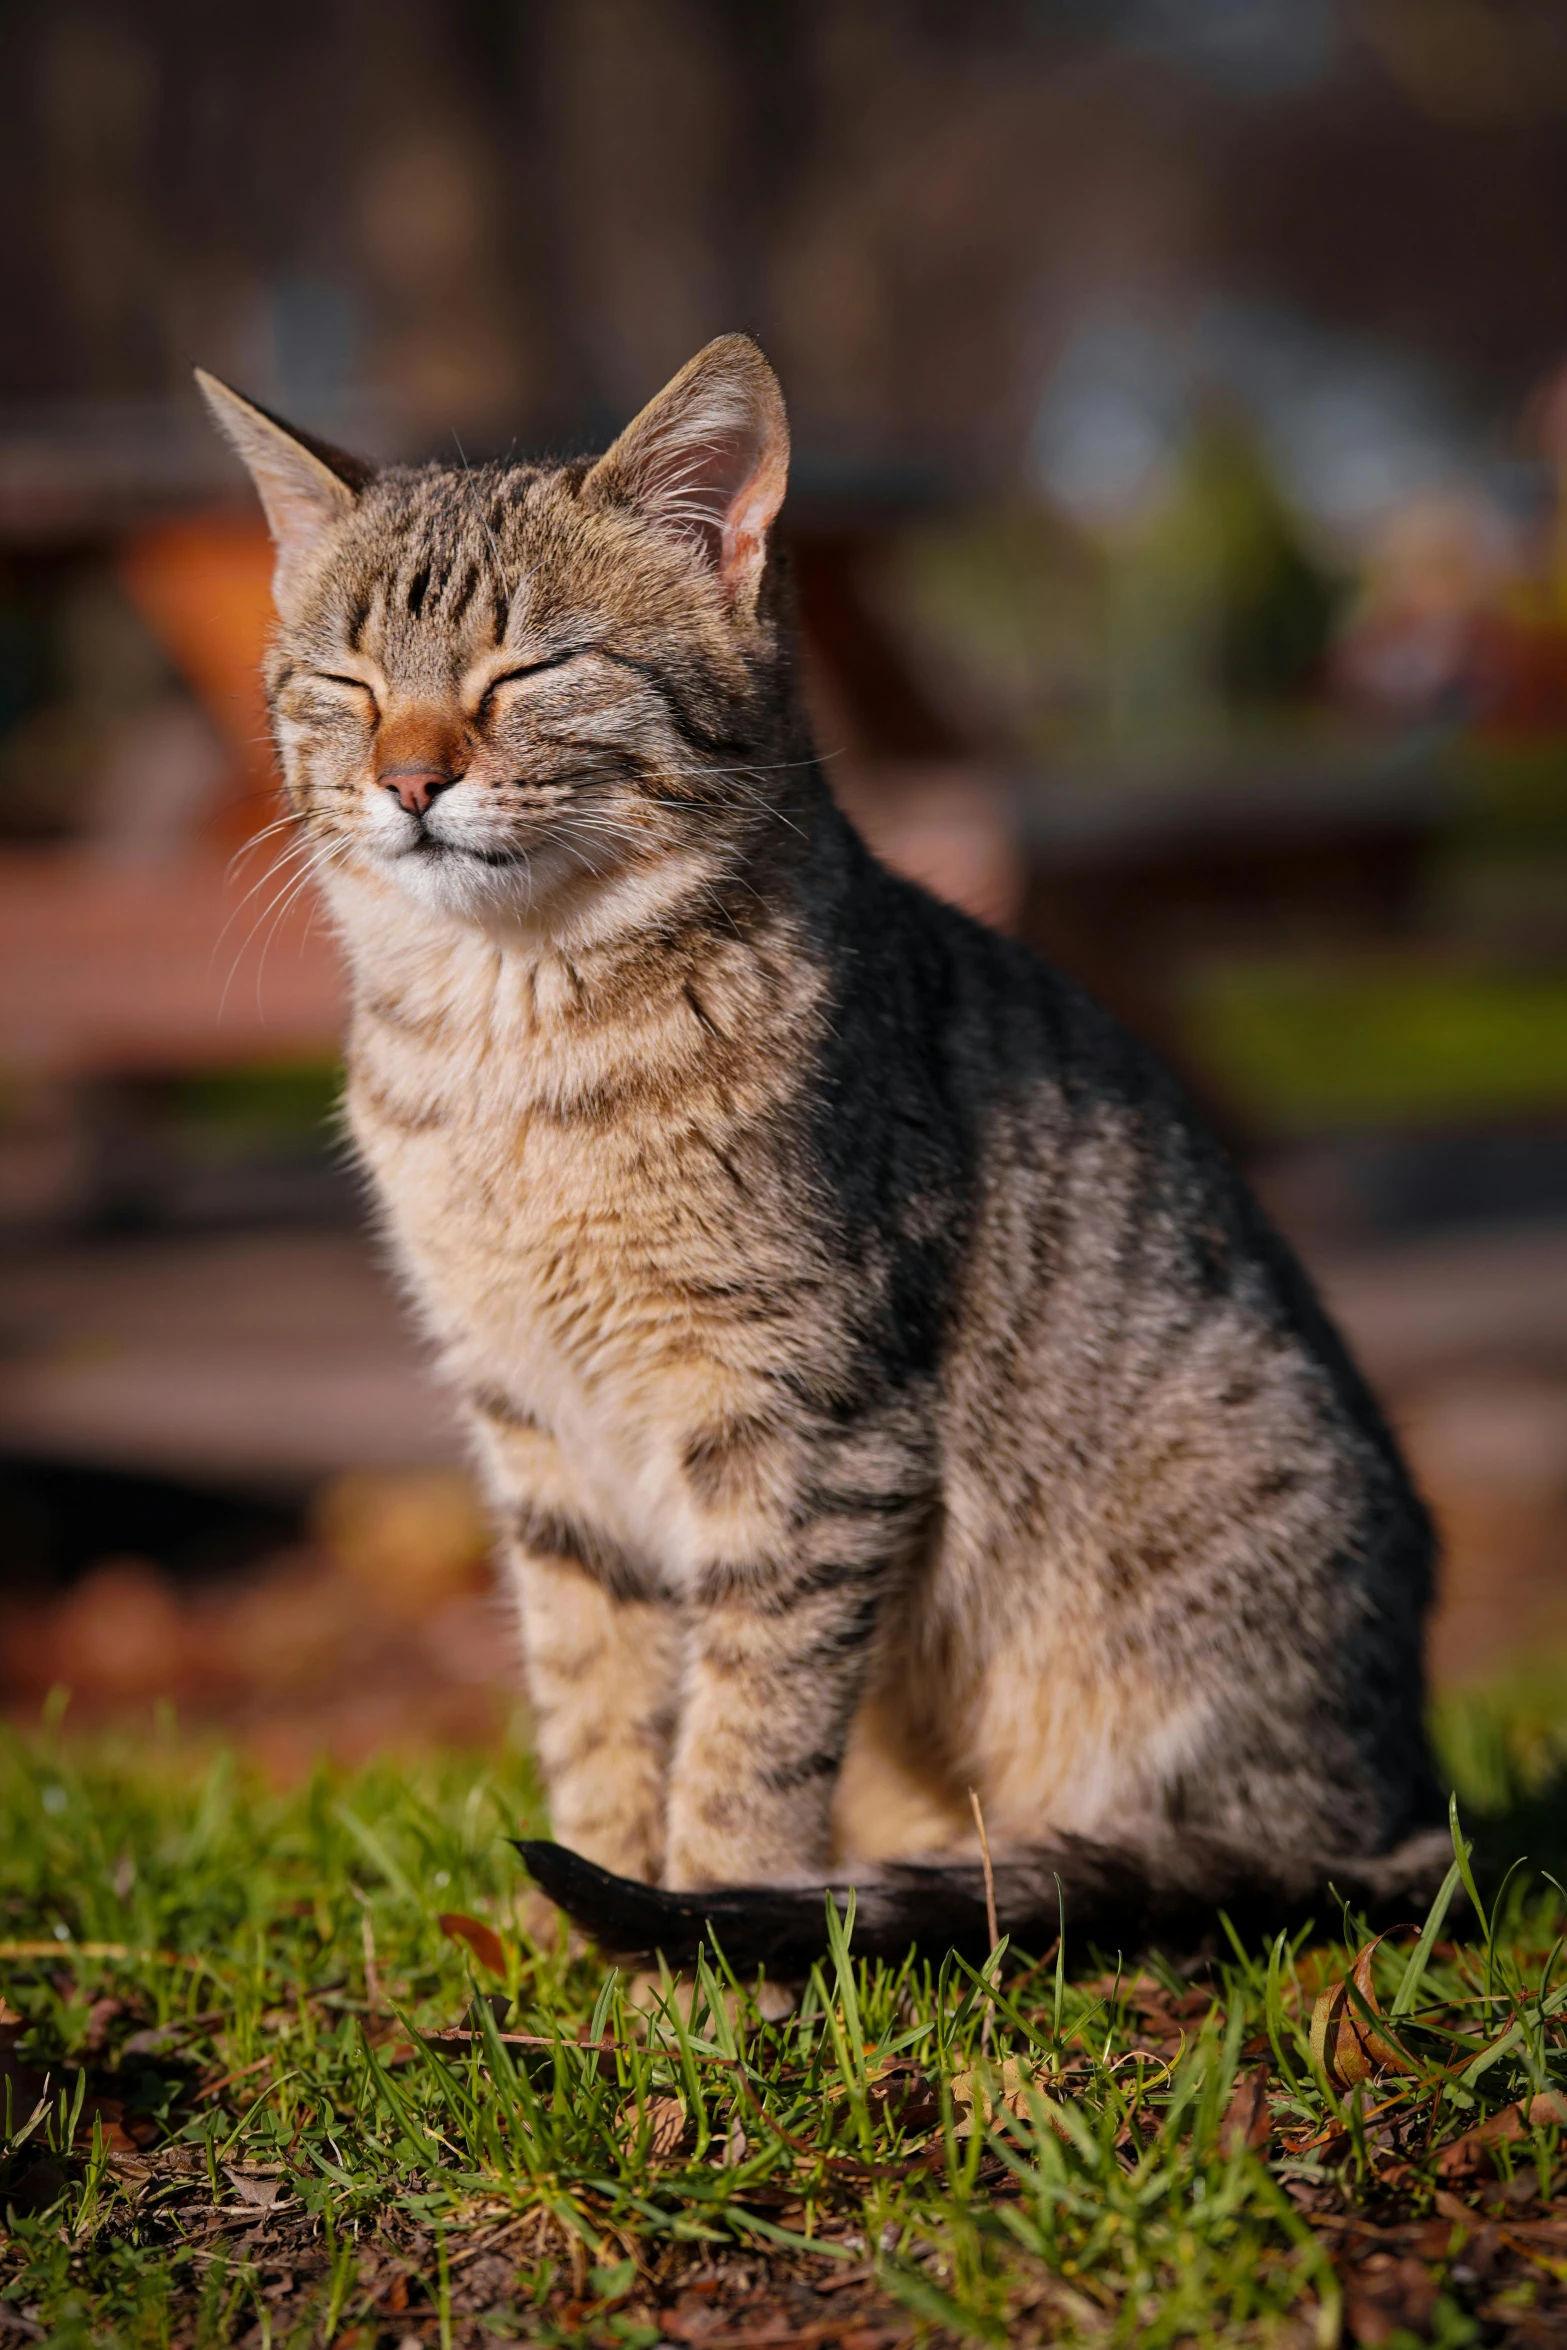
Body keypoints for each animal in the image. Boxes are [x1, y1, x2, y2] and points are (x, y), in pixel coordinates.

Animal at [202, 340, 1456, 1973]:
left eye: (526, 673)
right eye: (347, 686)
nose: (408, 779)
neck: (510, 1038)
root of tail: (1400, 1799)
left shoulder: (808, 1419)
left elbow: (751, 1716)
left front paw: (704, 1941)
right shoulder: (538, 1428)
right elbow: (595, 1698)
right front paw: (596, 1924)